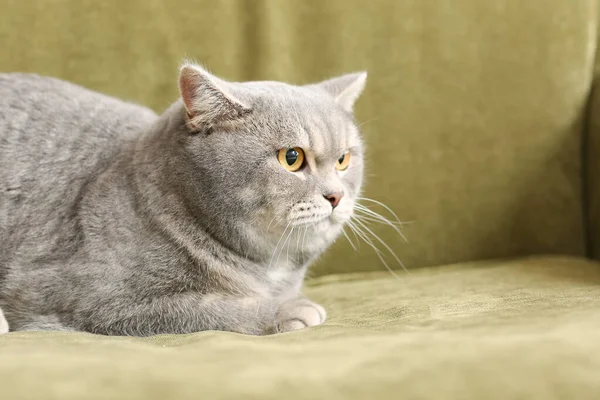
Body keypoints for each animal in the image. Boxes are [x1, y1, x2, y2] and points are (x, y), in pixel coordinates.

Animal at [0, 64, 366, 336]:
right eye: (291, 158)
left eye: (343, 160)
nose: (336, 196)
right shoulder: (86, 299)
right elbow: (203, 308)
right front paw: (286, 310)